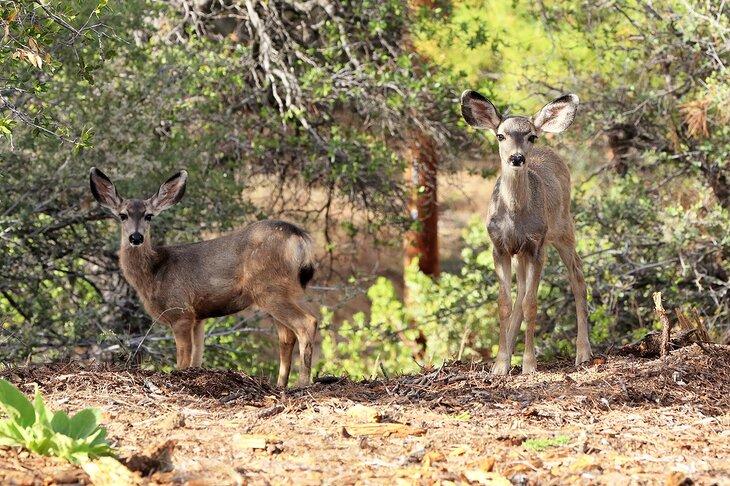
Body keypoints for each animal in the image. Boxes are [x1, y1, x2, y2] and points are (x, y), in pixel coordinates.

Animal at [89, 167, 317, 387]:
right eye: (123, 215)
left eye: (149, 216)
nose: (136, 237)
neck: (154, 273)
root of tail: (300, 238)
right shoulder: (198, 316)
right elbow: (197, 357)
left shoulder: (180, 310)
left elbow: (183, 357)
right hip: (288, 290)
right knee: (287, 335)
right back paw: (281, 385)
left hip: (269, 287)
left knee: (307, 323)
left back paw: (302, 383)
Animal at [460, 90, 593, 375]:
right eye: (500, 135)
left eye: (531, 136)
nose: (517, 158)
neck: (515, 217)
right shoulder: (499, 247)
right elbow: (505, 304)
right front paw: (500, 364)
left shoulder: (536, 246)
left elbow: (532, 304)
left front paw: (530, 364)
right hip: (522, 252)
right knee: (520, 292)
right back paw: (509, 352)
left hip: (563, 228)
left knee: (578, 277)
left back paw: (583, 352)